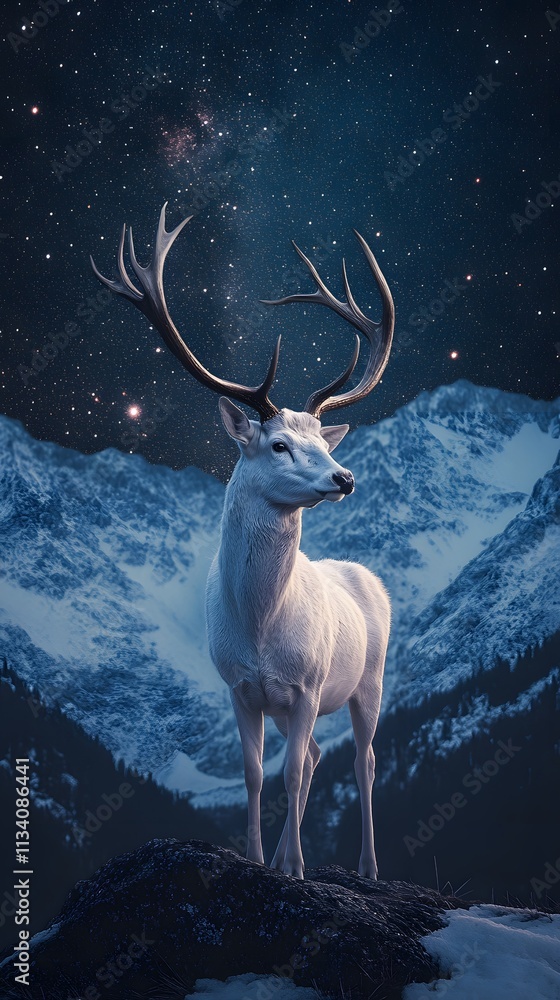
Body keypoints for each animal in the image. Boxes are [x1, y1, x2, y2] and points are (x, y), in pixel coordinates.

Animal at [91, 204, 394, 880]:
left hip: (370, 679)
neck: (260, 627)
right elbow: (258, 775)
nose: (345, 477)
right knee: (316, 760)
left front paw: (297, 868)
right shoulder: (240, 689)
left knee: (362, 763)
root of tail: (371, 578)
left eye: (323, 443)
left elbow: (292, 775)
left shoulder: (308, 687)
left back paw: (367, 866)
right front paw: (258, 859)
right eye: (278, 444)